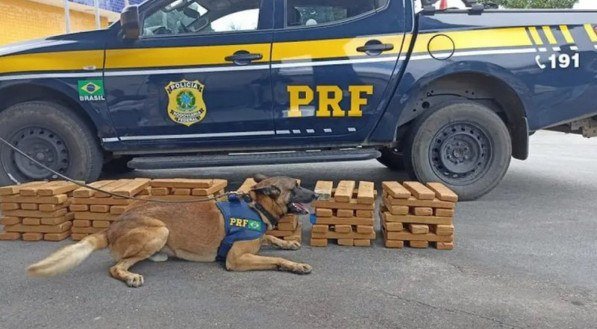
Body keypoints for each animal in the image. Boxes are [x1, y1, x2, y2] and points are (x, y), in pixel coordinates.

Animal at [26, 174, 316, 288]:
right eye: (296, 187)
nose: (315, 194)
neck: (256, 207)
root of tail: (112, 226)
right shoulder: (237, 259)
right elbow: (275, 259)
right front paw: (295, 265)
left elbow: (271, 237)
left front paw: (287, 243)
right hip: (159, 231)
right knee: (115, 267)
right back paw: (129, 276)